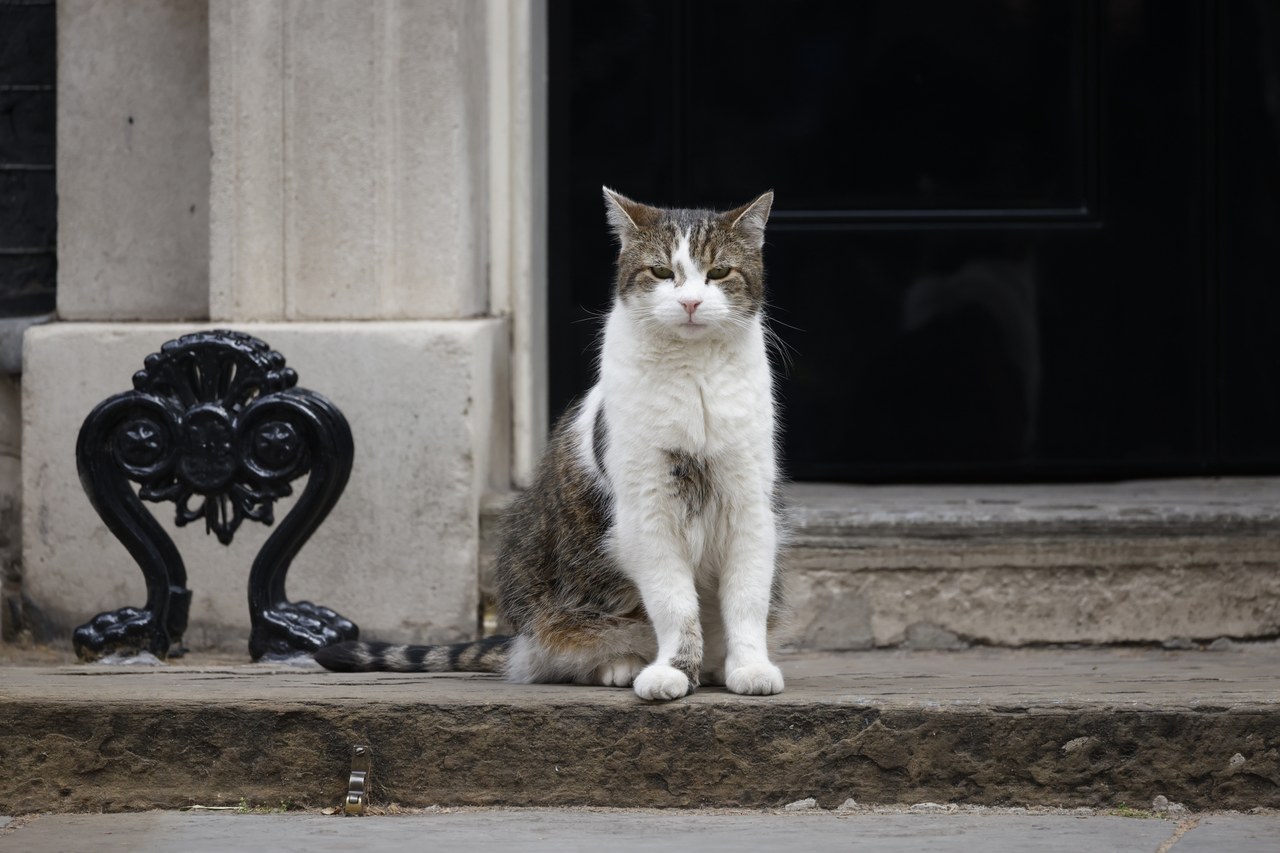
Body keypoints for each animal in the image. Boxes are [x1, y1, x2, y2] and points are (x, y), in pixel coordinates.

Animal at [314, 188, 783, 696]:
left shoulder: (750, 505)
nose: (692, 302)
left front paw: (749, 667)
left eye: (719, 273)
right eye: (662, 272)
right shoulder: (649, 510)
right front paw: (673, 671)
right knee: (562, 650)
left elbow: (747, 599)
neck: (695, 376)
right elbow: (674, 603)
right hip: (536, 576)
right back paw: (622, 665)